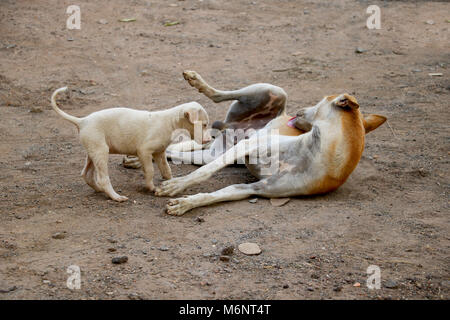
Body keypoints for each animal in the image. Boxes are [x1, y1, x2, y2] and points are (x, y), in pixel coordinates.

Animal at [50, 87, 212, 202]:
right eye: (204, 125)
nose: (209, 140)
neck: (169, 122)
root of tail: (82, 121)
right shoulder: (144, 151)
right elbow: (150, 171)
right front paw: (151, 187)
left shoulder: (159, 153)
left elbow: (167, 170)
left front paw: (171, 185)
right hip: (101, 151)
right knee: (102, 178)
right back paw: (115, 196)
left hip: (92, 151)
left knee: (86, 174)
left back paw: (100, 190)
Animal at [155, 70, 386, 215]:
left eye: (320, 100)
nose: (298, 111)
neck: (314, 155)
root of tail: (231, 125)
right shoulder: (247, 146)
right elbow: (203, 173)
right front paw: (177, 185)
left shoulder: (254, 188)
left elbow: (214, 195)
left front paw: (185, 202)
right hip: (273, 91)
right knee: (218, 96)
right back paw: (198, 81)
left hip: (214, 152)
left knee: (175, 153)